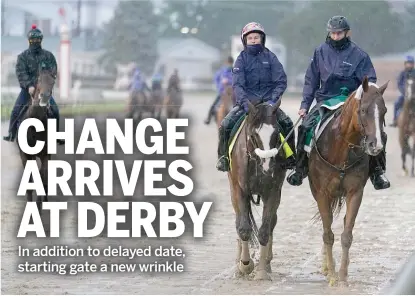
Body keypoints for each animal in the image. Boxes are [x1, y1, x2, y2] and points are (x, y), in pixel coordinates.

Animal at [17, 67, 57, 212]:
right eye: (39, 79)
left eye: (53, 81)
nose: (44, 96)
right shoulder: (25, 155)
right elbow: (29, 178)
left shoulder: (45, 154)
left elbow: (42, 176)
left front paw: (39, 205)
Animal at [256, 77, 390, 286]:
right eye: (363, 110)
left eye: (384, 111)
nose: (375, 145)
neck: (341, 149)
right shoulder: (321, 193)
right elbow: (328, 234)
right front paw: (333, 275)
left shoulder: (355, 193)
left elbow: (346, 234)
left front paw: (342, 276)